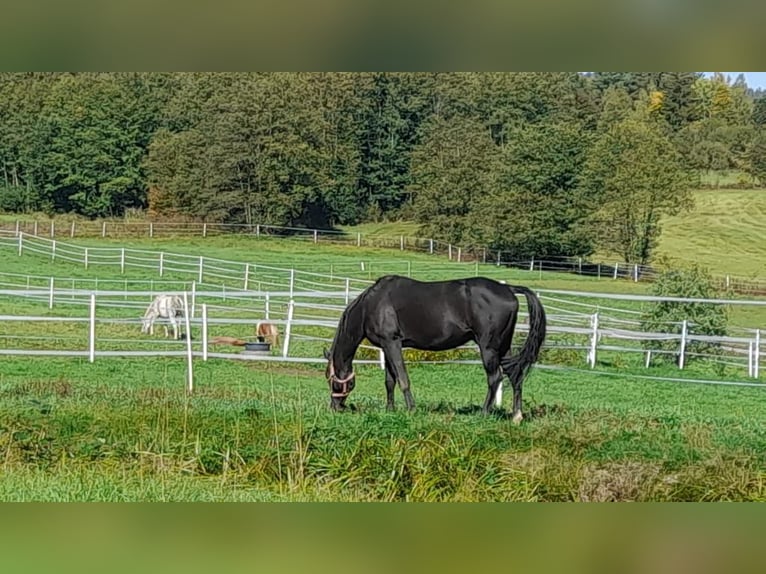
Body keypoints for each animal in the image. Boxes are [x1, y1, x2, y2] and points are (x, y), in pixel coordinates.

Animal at [322, 274, 544, 424]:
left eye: (333, 381)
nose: (335, 407)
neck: (370, 305)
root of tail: (509, 290)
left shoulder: (392, 343)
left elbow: (402, 379)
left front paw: (411, 409)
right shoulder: (387, 346)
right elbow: (389, 381)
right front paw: (390, 410)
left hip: (488, 347)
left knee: (495, 377)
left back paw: (484, 413)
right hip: (504, 346)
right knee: (515, 375)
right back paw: (516, 415)